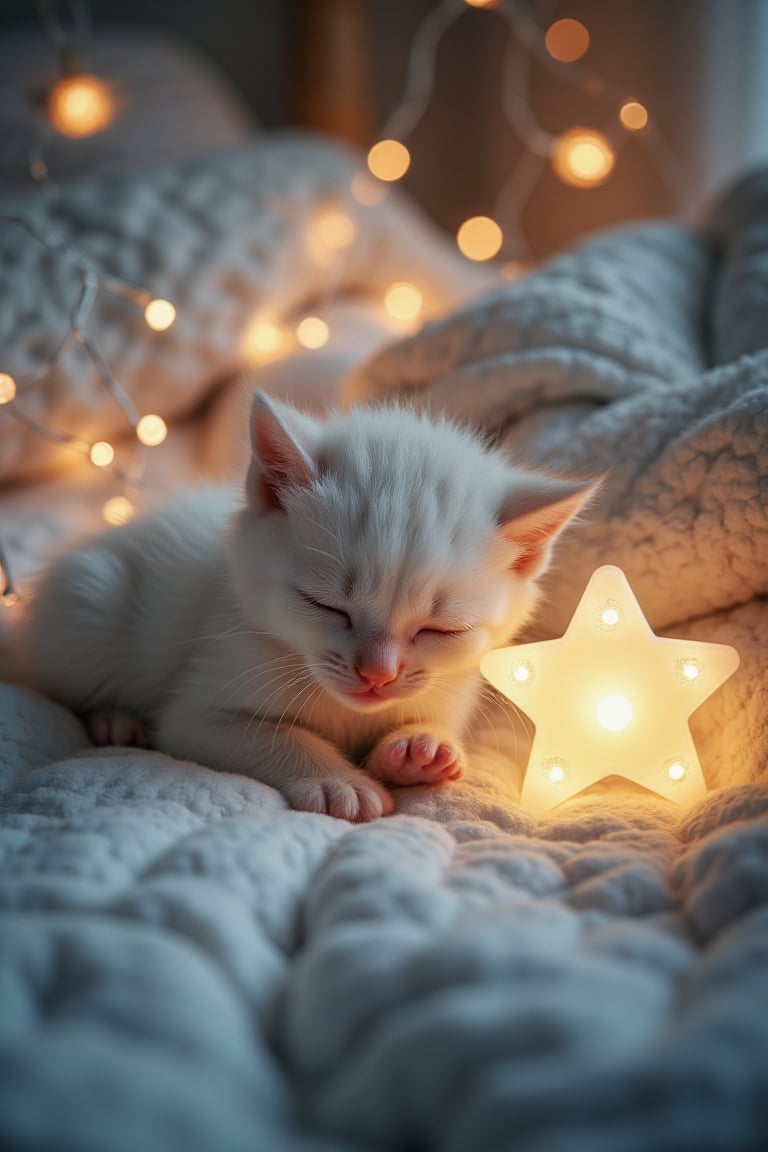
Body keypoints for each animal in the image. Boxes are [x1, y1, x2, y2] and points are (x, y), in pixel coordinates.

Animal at [17, 393, 594, 820]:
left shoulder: (451, 682)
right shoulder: (196, 709)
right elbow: (271, 734)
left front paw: (421, 747)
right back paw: (115, 721)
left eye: (440, 630)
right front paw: (339, 780)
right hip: (86, 608)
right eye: (326, 605)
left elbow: (430, 717)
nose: (378, 676)